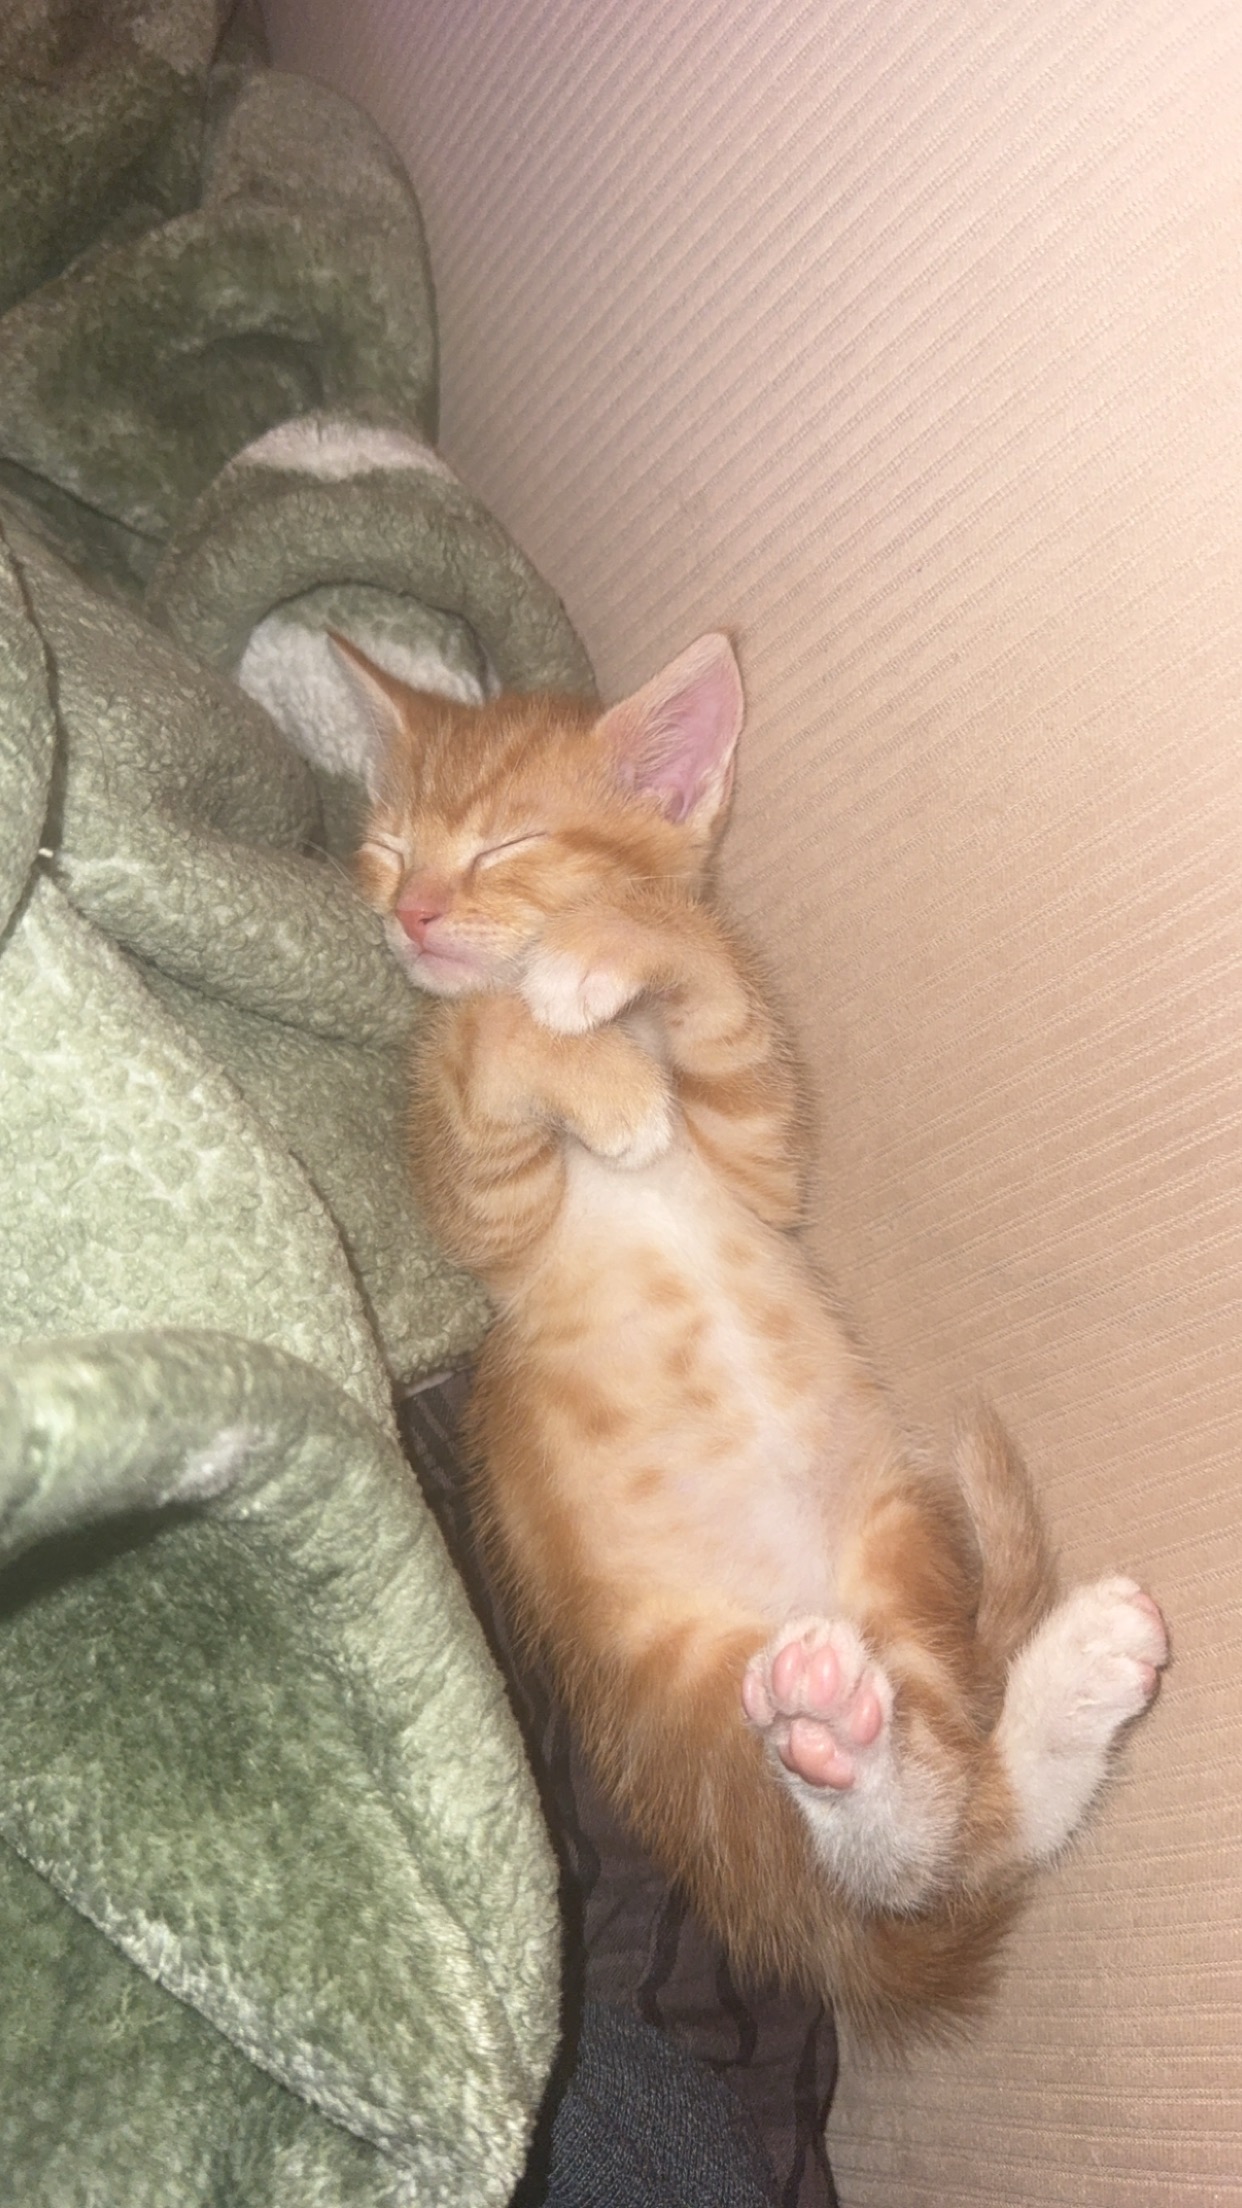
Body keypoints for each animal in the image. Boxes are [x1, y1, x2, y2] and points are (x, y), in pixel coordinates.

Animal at [342, 628, 1169, 2042]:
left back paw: (1028, 1698)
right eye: (391, 850)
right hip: (692, 1690)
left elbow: (711, 988)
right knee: (925, 1844)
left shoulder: (757, 1146)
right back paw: (854, 1738)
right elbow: (487, 1049)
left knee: (967, 1822)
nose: (416, 917)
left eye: (507, 846)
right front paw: (592, 1070)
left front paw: (608, 955)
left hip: (895, 1550)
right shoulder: (484, 1209)